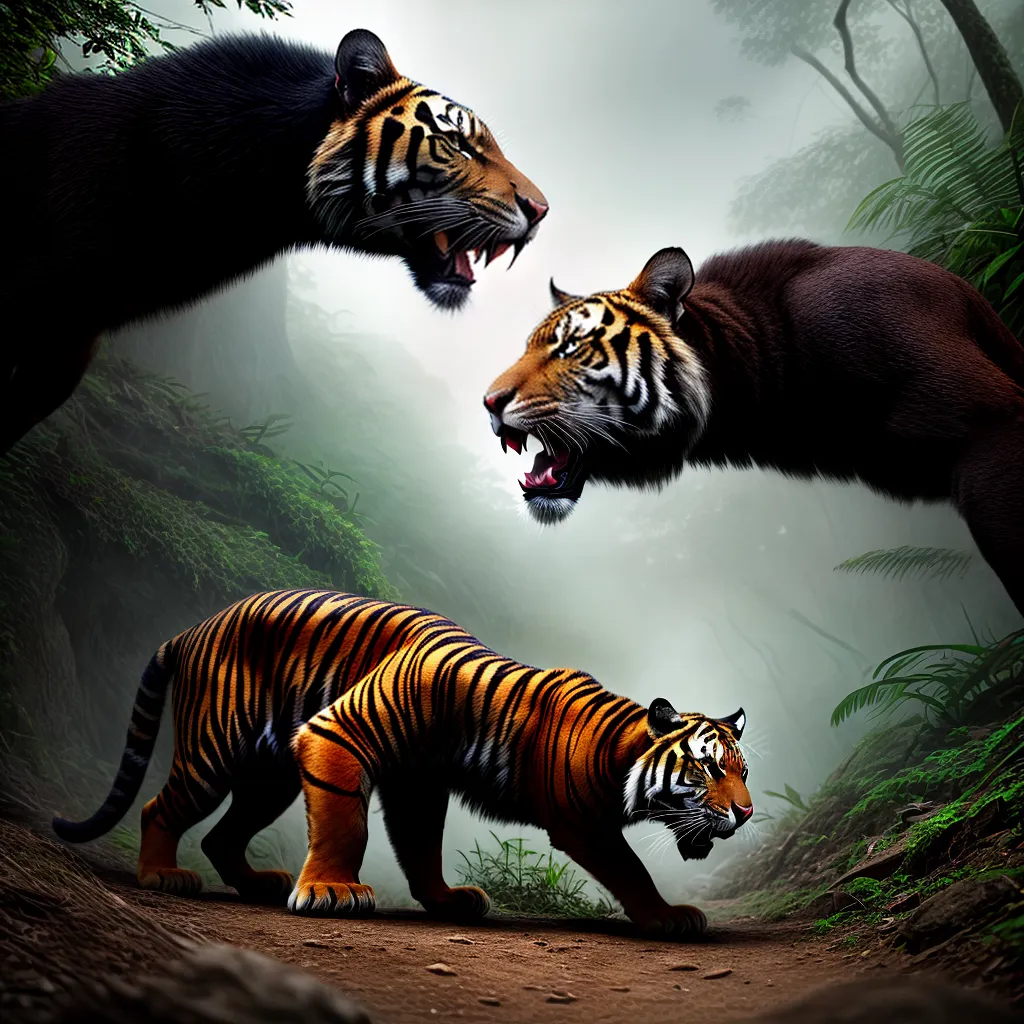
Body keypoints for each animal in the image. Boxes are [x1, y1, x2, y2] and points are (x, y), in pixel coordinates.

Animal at [53, 589, 751, 938]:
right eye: (709, 769)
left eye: (745, 772)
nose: (745, 815)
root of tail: (194, 627)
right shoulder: (339, 733)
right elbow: (346, 824)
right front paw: (333, 892)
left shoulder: (420, 783)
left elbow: (419, 845)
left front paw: (445, 900)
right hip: (215, 749)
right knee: (159, 806)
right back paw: (162, 875)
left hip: (268, 776)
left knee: (224, 834)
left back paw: (257, 884)